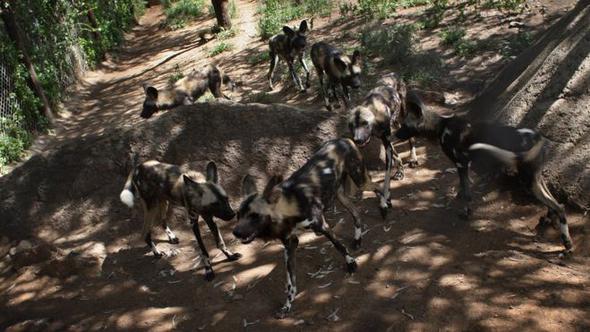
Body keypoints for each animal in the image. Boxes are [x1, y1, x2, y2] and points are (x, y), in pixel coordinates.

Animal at [234, 138, 386, 320]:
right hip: (340, 195)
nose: (235, 232)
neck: (290, 209)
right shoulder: (290, 244)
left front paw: (351, 264)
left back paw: (385, 207)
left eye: (254, 216)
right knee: (357, 214)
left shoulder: (323, 227)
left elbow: (339, 246)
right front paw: (287, 305)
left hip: (361, 182)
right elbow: (290, 283)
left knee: (378, 187)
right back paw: (357, 239)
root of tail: (343, 139)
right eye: (238, 215)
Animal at [350, 73, 424, 218]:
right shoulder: (385, 141)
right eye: (352, 126)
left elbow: (386, 177)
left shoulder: (386, 139)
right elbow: (396, 157)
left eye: (365, 124)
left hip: (402, 113)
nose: (358, 140)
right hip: (395, 123)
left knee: (410, 136)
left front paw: (384, 200)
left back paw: (413, 158)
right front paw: (399, 172)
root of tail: (392, 74)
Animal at [396, 96, 576, 256]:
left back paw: (567, 243)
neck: (441, 127)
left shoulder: (461, 164)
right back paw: (547, 220)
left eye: (405, 125)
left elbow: (467, 194)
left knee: (559, 206)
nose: (395, 135)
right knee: (555, 202)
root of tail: (537, 138)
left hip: (527, 181)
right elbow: (463, 187)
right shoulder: (464, 166)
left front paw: (466, 213)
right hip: (535, 177)